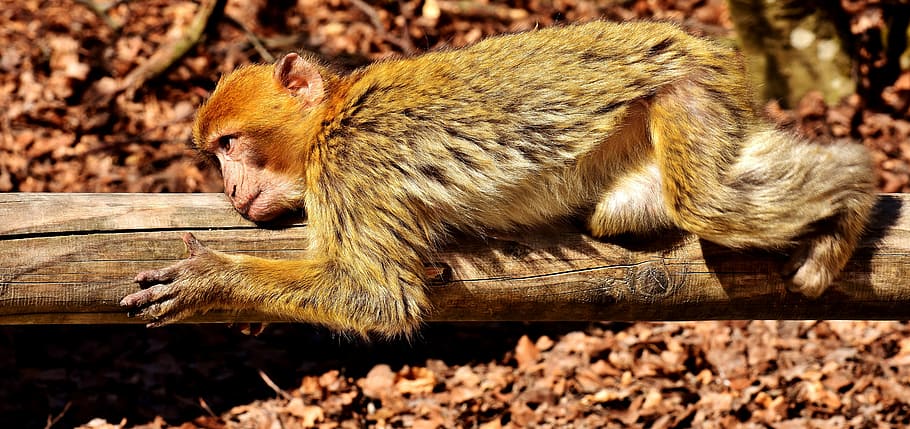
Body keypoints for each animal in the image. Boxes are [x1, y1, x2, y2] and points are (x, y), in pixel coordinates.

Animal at [120, 21, 875, 337]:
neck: (329, 120)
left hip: (691, 88)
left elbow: (379, 297)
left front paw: (213, 277)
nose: (227, 187)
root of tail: (699, 41)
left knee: (711, 202)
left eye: (230, 144)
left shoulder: (348, 164)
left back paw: (854, 187)